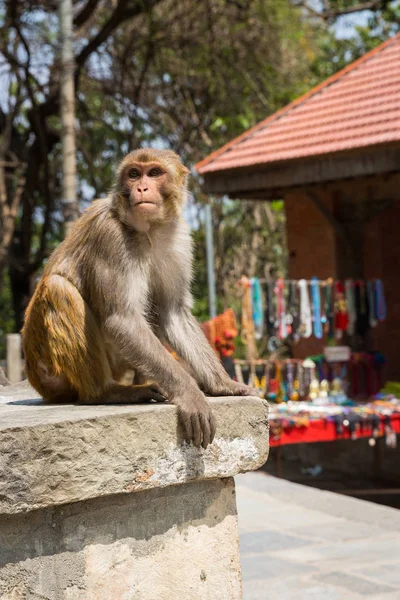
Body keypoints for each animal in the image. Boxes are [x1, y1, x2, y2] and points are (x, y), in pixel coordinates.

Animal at [21, 149, 255, 450]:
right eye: (134, 174)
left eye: (154, 173)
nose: (141, 188)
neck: (148, 230)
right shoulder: (110, 236)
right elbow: (121, 319)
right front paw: (190, 394)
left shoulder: (179, 240)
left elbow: (172, 312)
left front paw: (222, 384)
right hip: (50, 374)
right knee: (59, 288)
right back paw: (105, 392)